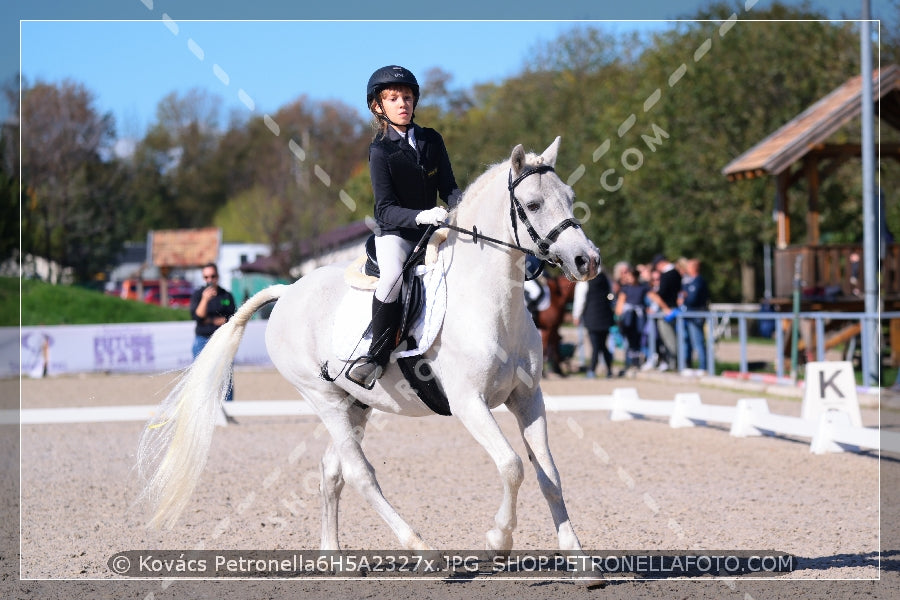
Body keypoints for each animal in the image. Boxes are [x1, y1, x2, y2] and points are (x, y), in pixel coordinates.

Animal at [139, 136, 596, 552]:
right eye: (533, 205)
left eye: (570, 198)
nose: (586, 260)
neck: (491, 303)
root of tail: (287, 292)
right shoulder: (469, 403)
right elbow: (512, 466)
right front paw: (498, 539)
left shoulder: (527, 398)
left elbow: (550, 476)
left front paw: (577, 558)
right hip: (322, 398)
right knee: (360, 474)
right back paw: (421, 549)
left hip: (354, 403)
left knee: (332, 471)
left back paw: (333, 556)